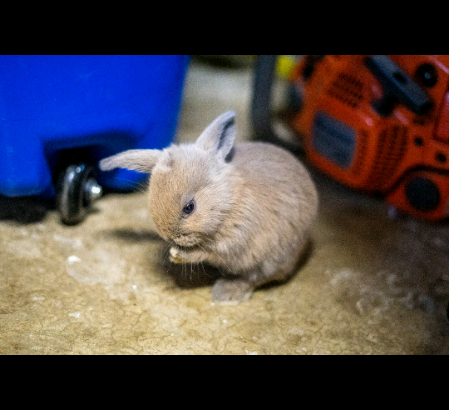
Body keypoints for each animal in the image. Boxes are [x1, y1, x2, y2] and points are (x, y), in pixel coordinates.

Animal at [100, 110, 316, 302]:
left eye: (189, 207)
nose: (170, 237)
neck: (228, 200)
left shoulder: (233, 241)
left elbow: (205, 253)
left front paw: (177, 255)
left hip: (272, 259)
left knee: (253, 278)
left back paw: (225, 293)